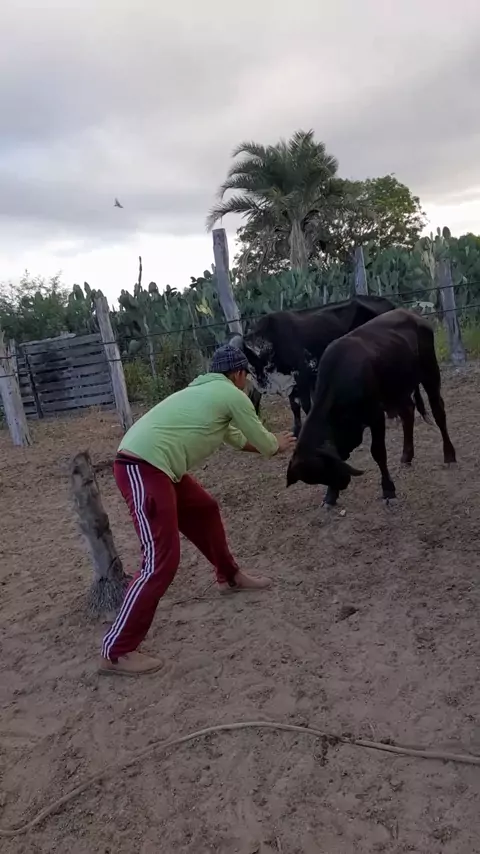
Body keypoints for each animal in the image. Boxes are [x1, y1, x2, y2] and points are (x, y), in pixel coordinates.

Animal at [231, 295, 396, 436]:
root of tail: (389, 304)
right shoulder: (291, 382)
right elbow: (295, 407)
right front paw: (296, 431)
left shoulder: (302, 377)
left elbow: (306, 406)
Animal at [286, 308, 456, 506]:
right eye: (319, 476)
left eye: (325, 468)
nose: (343, 483)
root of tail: (412, 314)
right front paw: (330, 496)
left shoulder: (376, 416)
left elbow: (378, 452)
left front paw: (389, 490)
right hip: (398, 390)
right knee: (408, 412)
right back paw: (406, 456)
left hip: (430, 373)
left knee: (438, 411)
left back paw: (449, 455)